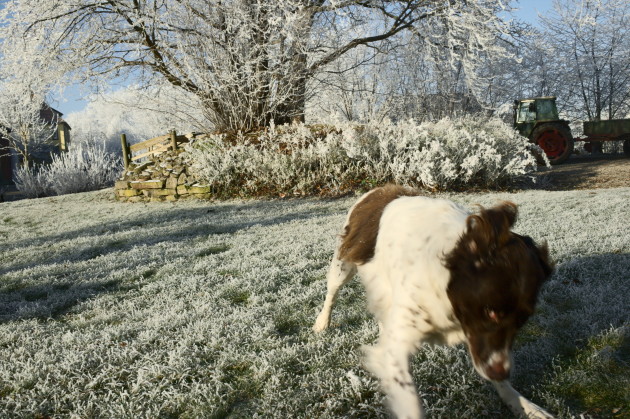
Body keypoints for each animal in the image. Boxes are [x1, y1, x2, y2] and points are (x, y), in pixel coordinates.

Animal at [314, 185, 556, 419]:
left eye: (523, 319)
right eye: (490, 312)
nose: (501, 371)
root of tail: (379, 188)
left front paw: (524, 405)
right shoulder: (399, 348)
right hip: (342, 266)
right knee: (331, 295)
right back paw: (322, 323)